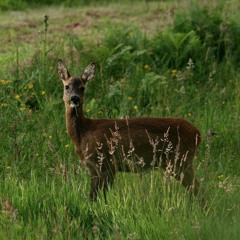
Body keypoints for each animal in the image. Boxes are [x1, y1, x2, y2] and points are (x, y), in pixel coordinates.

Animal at [57, 59, 202, 202]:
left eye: (83, 87)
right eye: (67, 86)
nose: (74, 98)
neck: (83, 133)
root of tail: (198, 133)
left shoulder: (106, 164)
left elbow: (98, 196)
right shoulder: (94, 167)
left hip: (181, 160)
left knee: (197, 188)